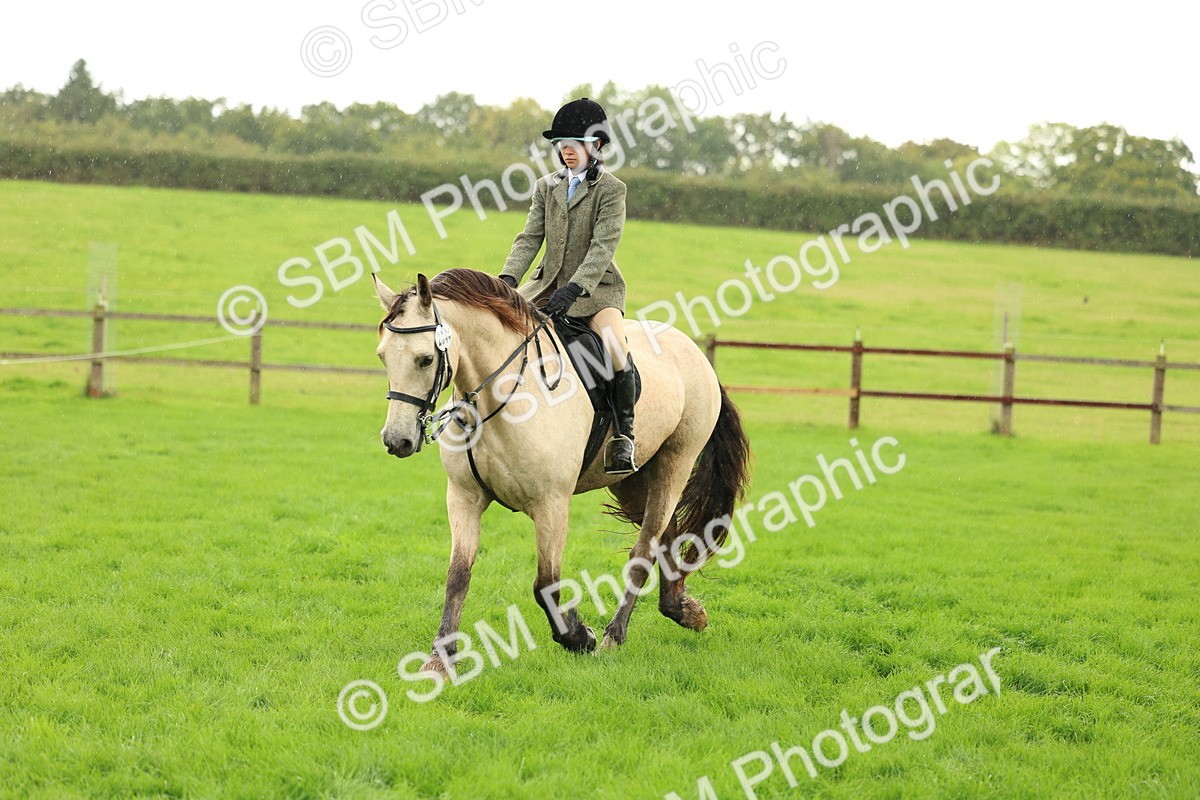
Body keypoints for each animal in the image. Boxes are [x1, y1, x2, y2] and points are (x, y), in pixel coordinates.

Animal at [372, 268, 750, 672]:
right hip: (630, 481)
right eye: (382, 356)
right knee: (667, 536)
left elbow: (545, 584)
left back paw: (614, 638)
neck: (504, 397)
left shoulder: (551, 504)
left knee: (644, 548)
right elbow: (458, 575)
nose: (397, 440)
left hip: (674, 464)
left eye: (426, 359)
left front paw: (579, 637)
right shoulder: (464, 496)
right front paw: (439, 661)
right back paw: (684, 609)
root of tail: (693, 351)